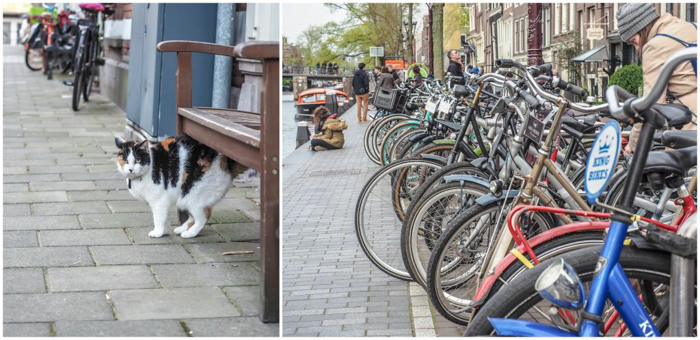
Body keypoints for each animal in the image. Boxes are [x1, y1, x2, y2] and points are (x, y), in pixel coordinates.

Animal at [115, 136, 246, 239]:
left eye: (138, 160)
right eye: (125, 160)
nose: (130, 169)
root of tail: (226, 161)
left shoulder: (159, 201)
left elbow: (158, 217)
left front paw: (157, 232)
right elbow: (164, 217)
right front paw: (164, 231)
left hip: (195, 197)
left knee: (204, 216)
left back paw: (190, 233)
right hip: (186, 197)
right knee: (193, 217)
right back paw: (181, 229)